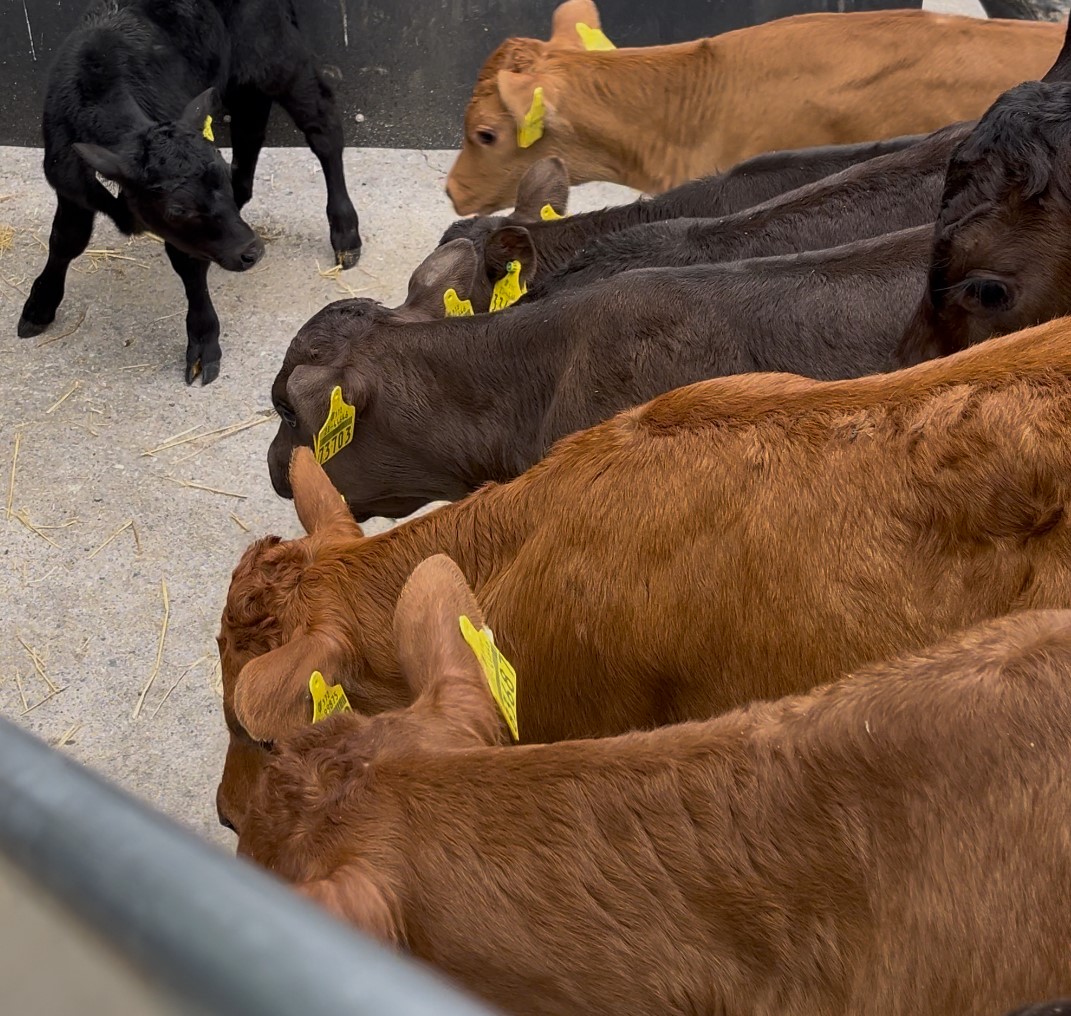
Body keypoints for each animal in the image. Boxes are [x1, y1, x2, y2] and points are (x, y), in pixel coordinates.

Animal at [16, 0, 362, 385]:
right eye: (177, 209)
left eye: (219, 177)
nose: (252, 251)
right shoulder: (69, 185)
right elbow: (66, 240)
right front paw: (40, 305)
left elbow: (189, 266)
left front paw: (203, 341)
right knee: (249, 129)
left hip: (277, 56)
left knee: (323, 129)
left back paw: (345, 232)